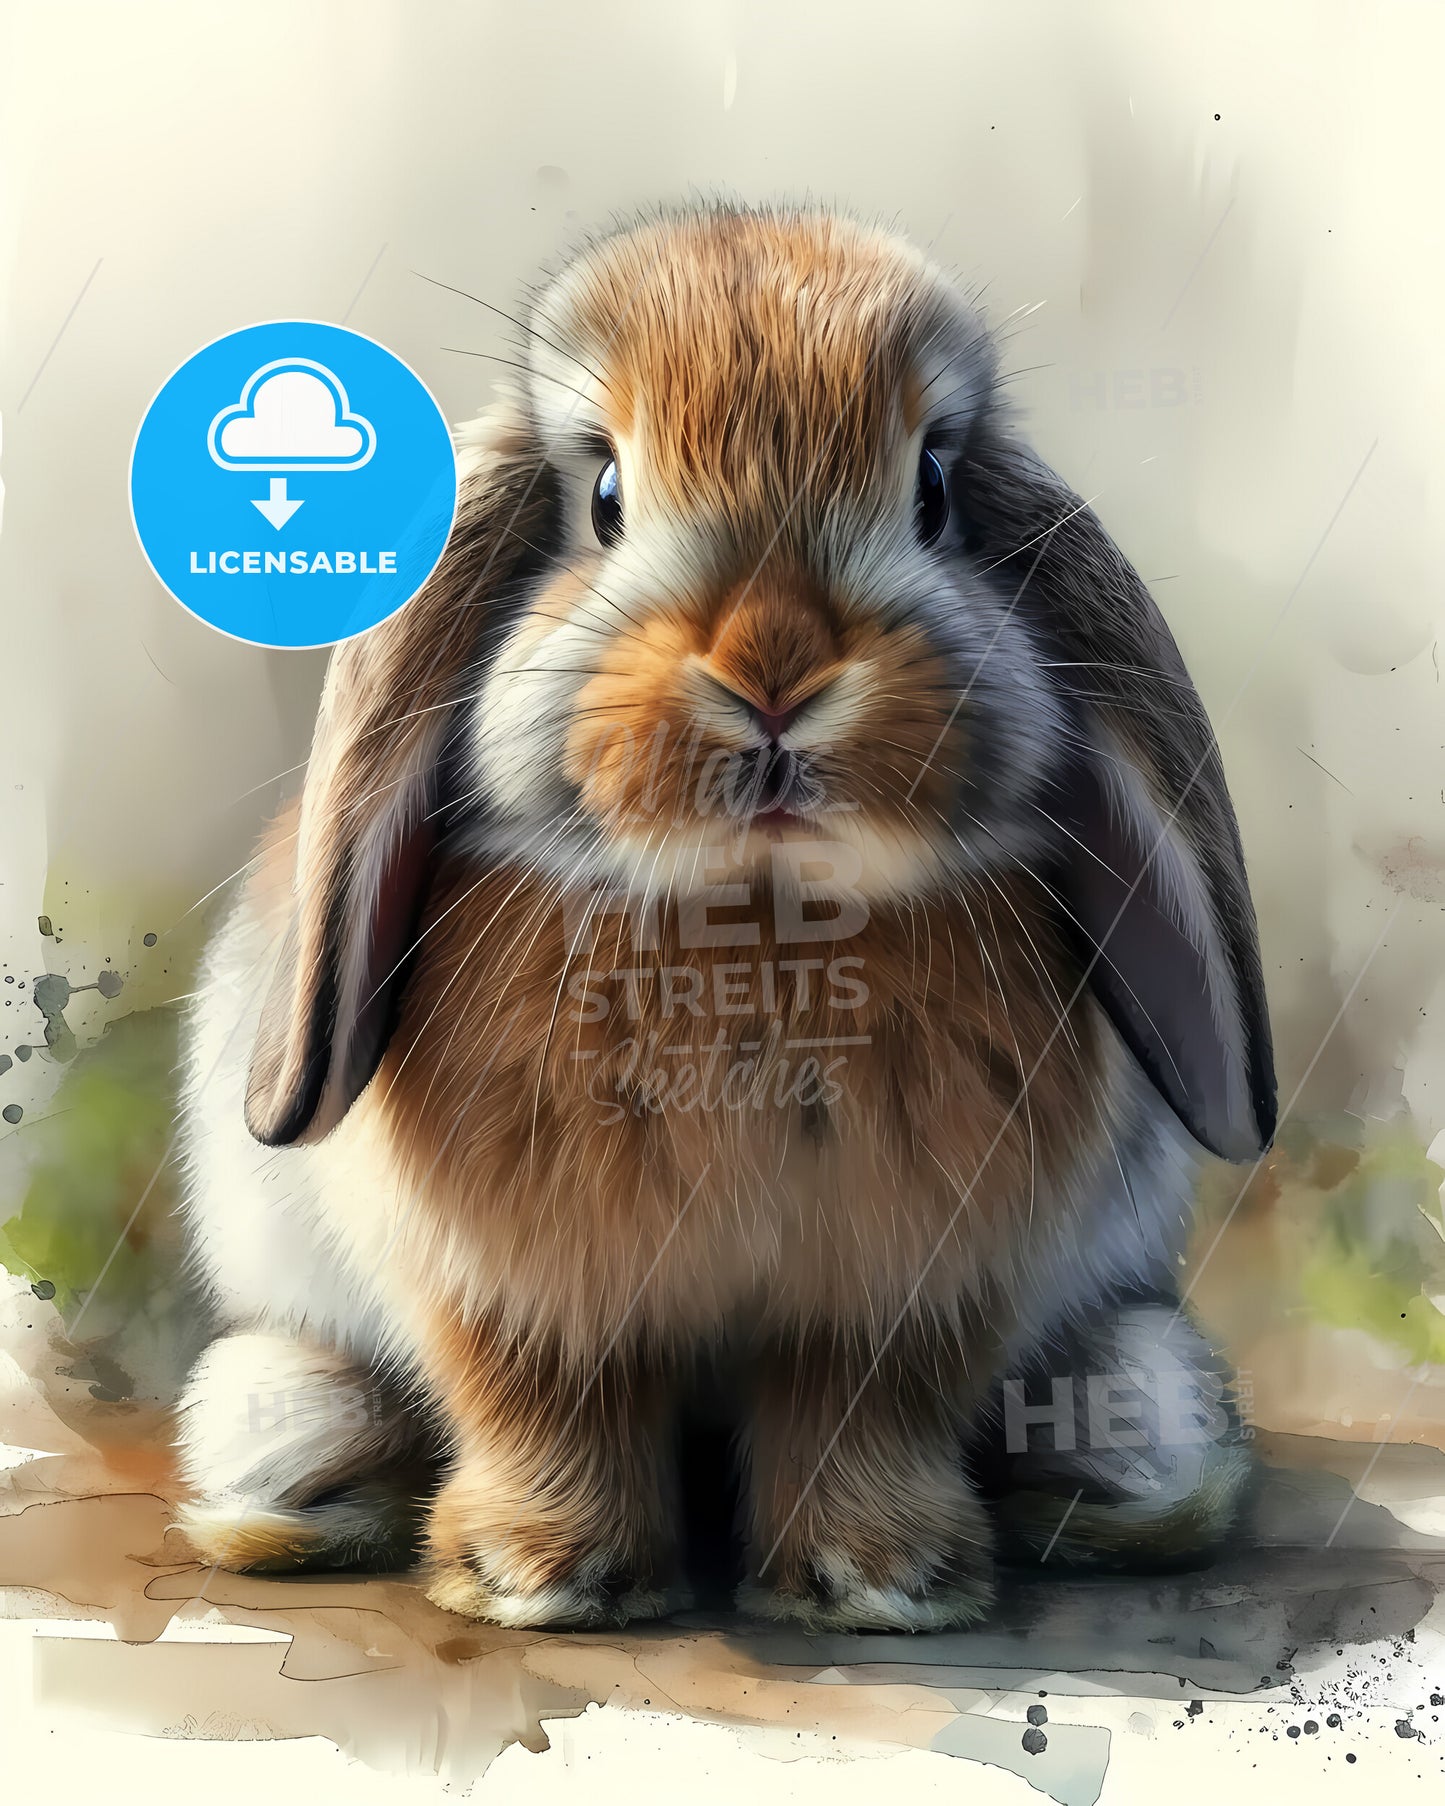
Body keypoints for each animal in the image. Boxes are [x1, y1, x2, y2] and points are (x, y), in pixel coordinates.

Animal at [174, 205, 1275, 1631]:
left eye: (932, 492)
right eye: (601, 498)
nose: (772, 669)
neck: (749, 922)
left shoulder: (902, 1295)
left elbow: (862, 1415)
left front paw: (874, 1581)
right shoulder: (518, 1293)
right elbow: (540, 1402)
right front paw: (544, 1577)